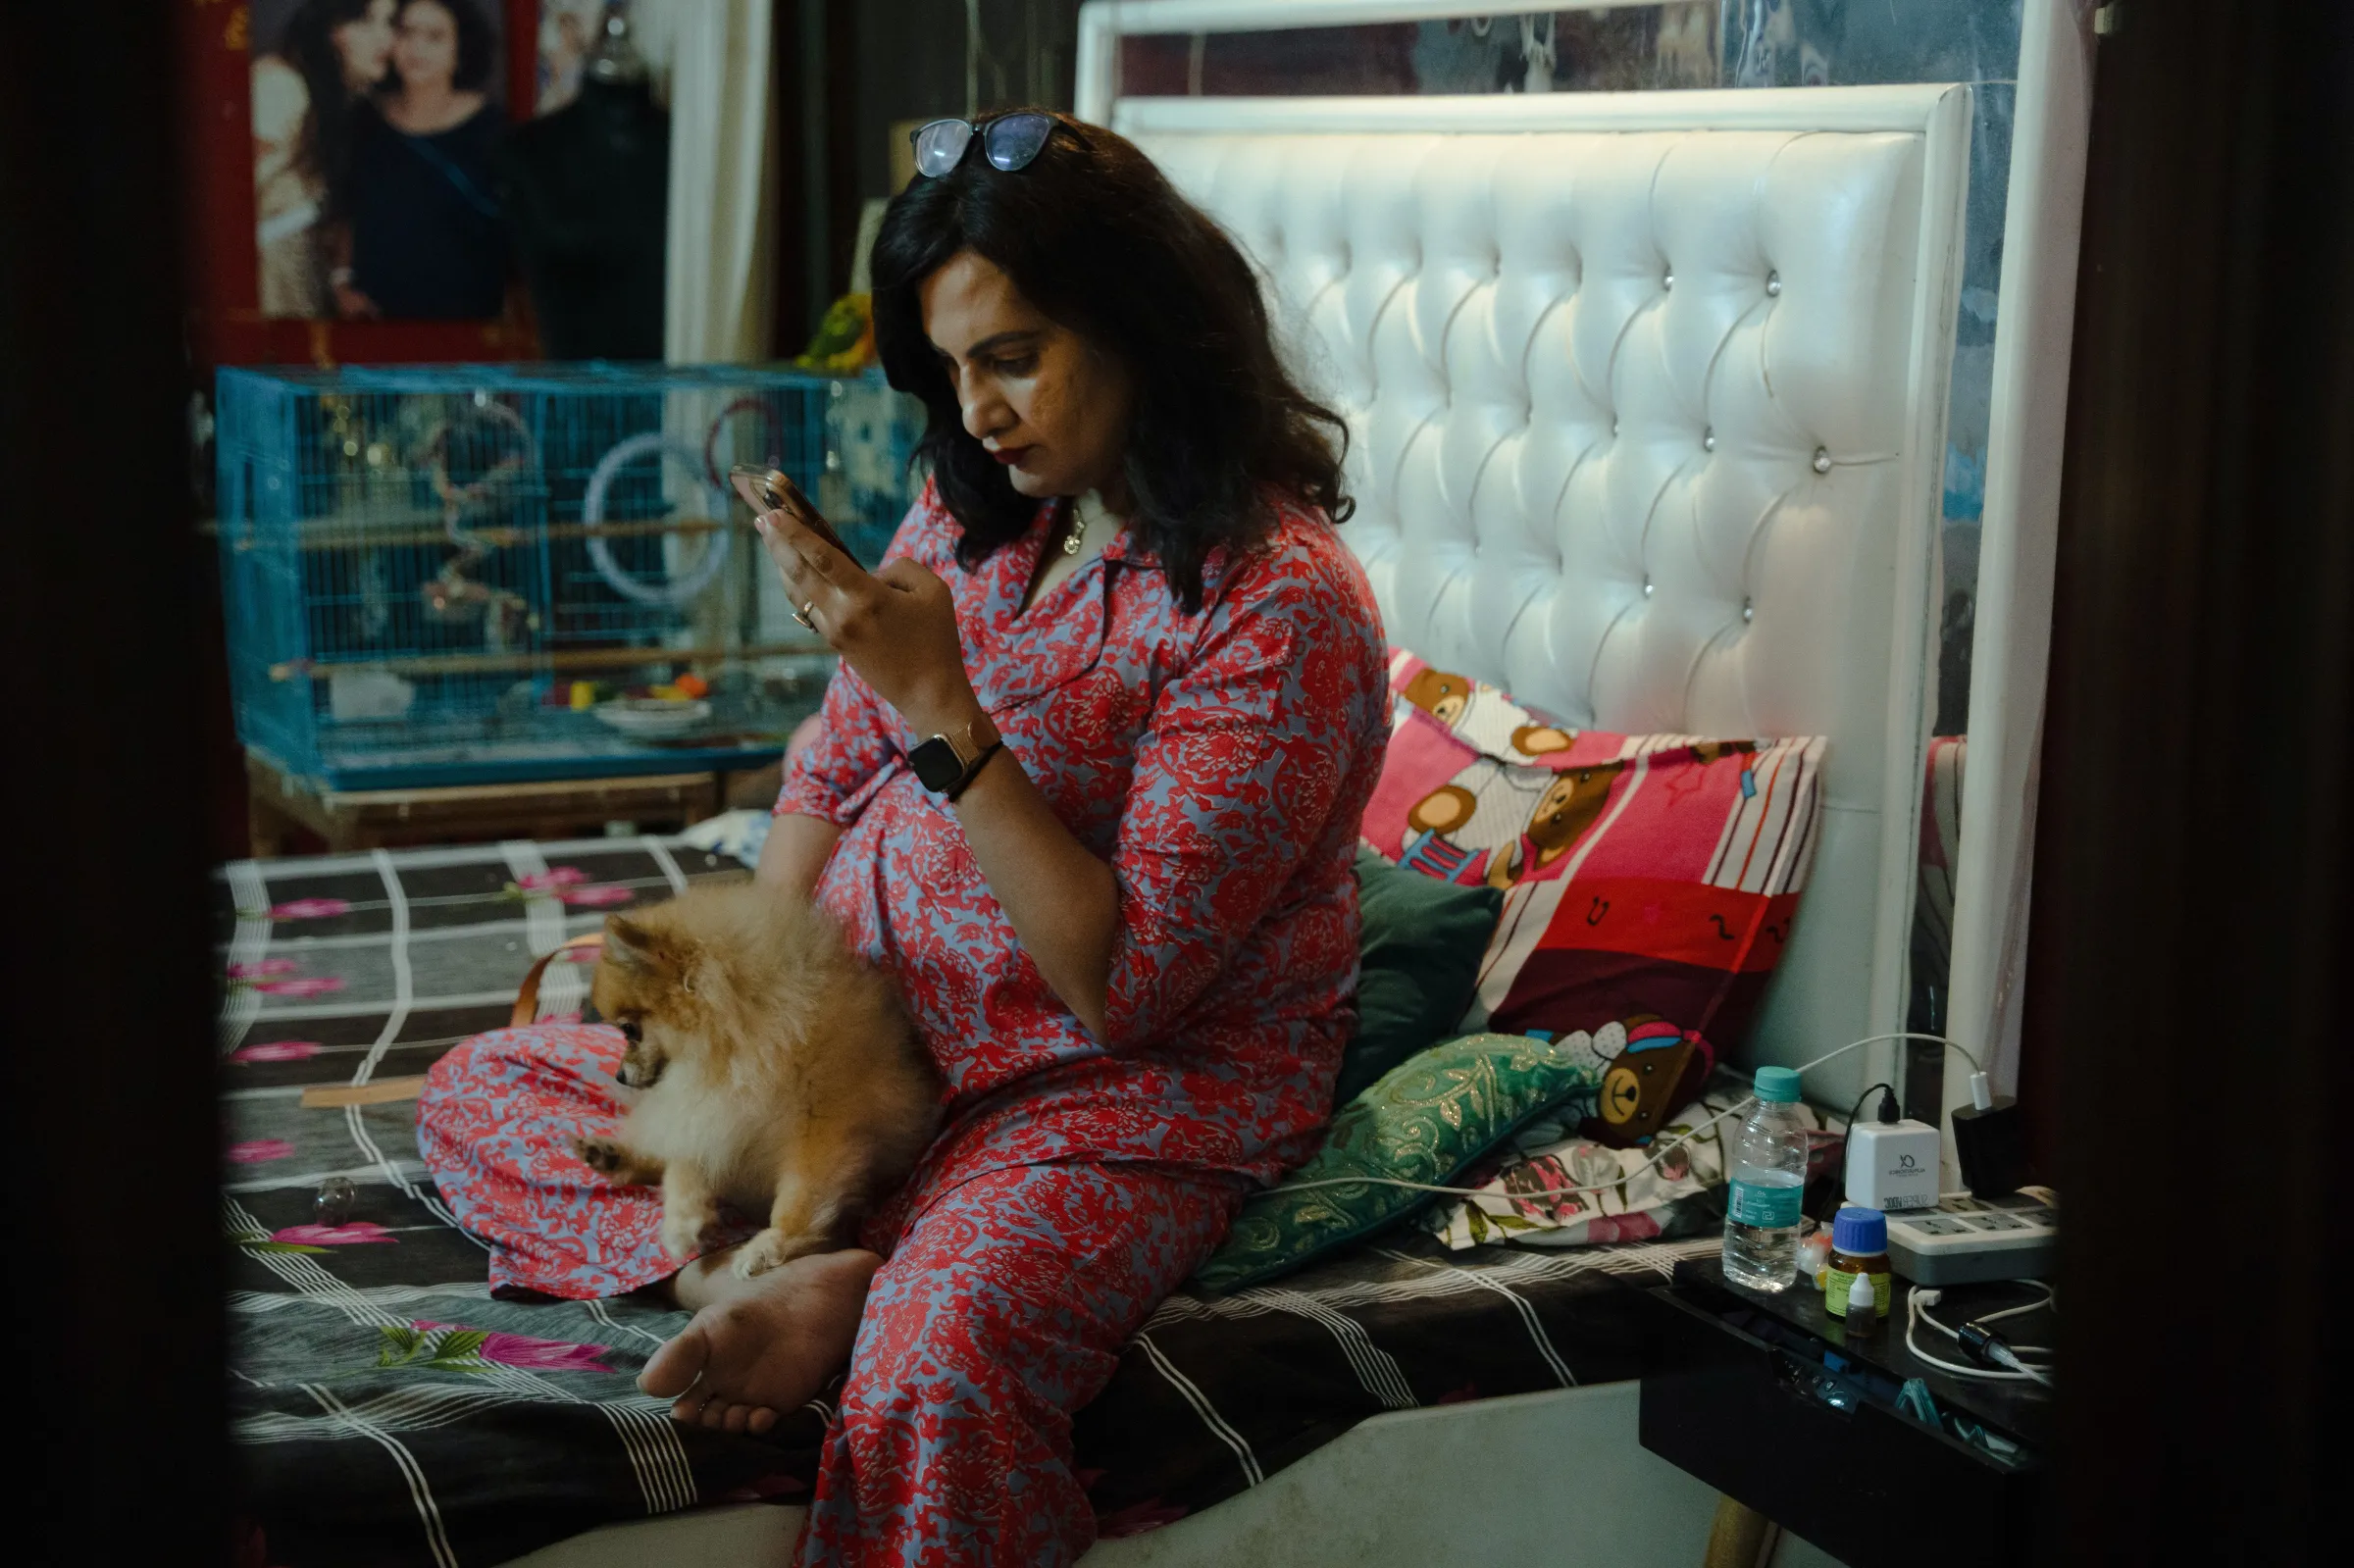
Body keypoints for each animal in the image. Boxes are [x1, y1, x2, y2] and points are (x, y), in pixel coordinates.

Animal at [574, 880, 942, 1271]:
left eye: (629, 1030)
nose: (619, 1076)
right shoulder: (710, 1110)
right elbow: (684, 1164)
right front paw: (681, 1221)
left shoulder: (824, 1126)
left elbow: (802, 1193)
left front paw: (773, 1243)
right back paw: (608, 1154)